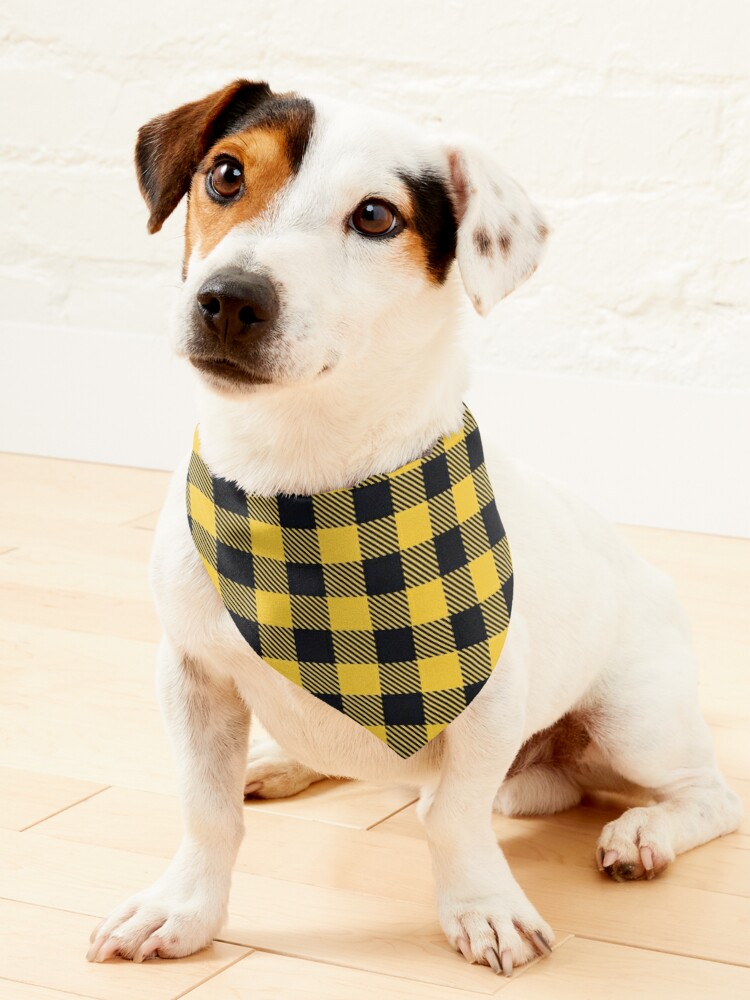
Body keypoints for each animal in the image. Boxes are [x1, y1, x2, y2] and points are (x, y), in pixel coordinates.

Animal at [85, 82, 744, 972]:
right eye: (225, 174)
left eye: (375, 216)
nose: (229, 298)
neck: (302, 484)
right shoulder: (192, 677)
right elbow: (207, 810)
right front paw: (183, 909)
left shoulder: (490, 704)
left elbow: (453, 818)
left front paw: (483, 908)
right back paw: (281, 761)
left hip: (635, 719)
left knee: (708, 796)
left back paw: (645, 833)